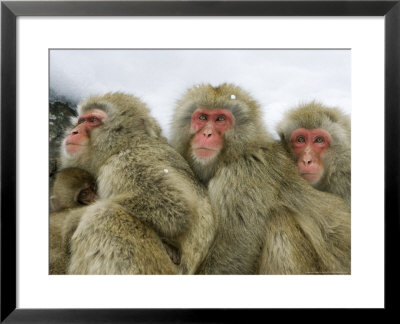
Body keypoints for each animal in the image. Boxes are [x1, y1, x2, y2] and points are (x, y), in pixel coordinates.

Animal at [59, 92, 214, 274]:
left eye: (93, 120)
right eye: (81, 120)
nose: (74, 131)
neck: (122, 146)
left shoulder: (128, 161)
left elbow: (175, 207)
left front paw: (71, 221)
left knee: (105, 215)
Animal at [170, 83, 352, 274]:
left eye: (220, 119)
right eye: (203, 117)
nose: (207, 134)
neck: (233, 154)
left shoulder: (243, 173)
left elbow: (234, 249)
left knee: (278, 219)